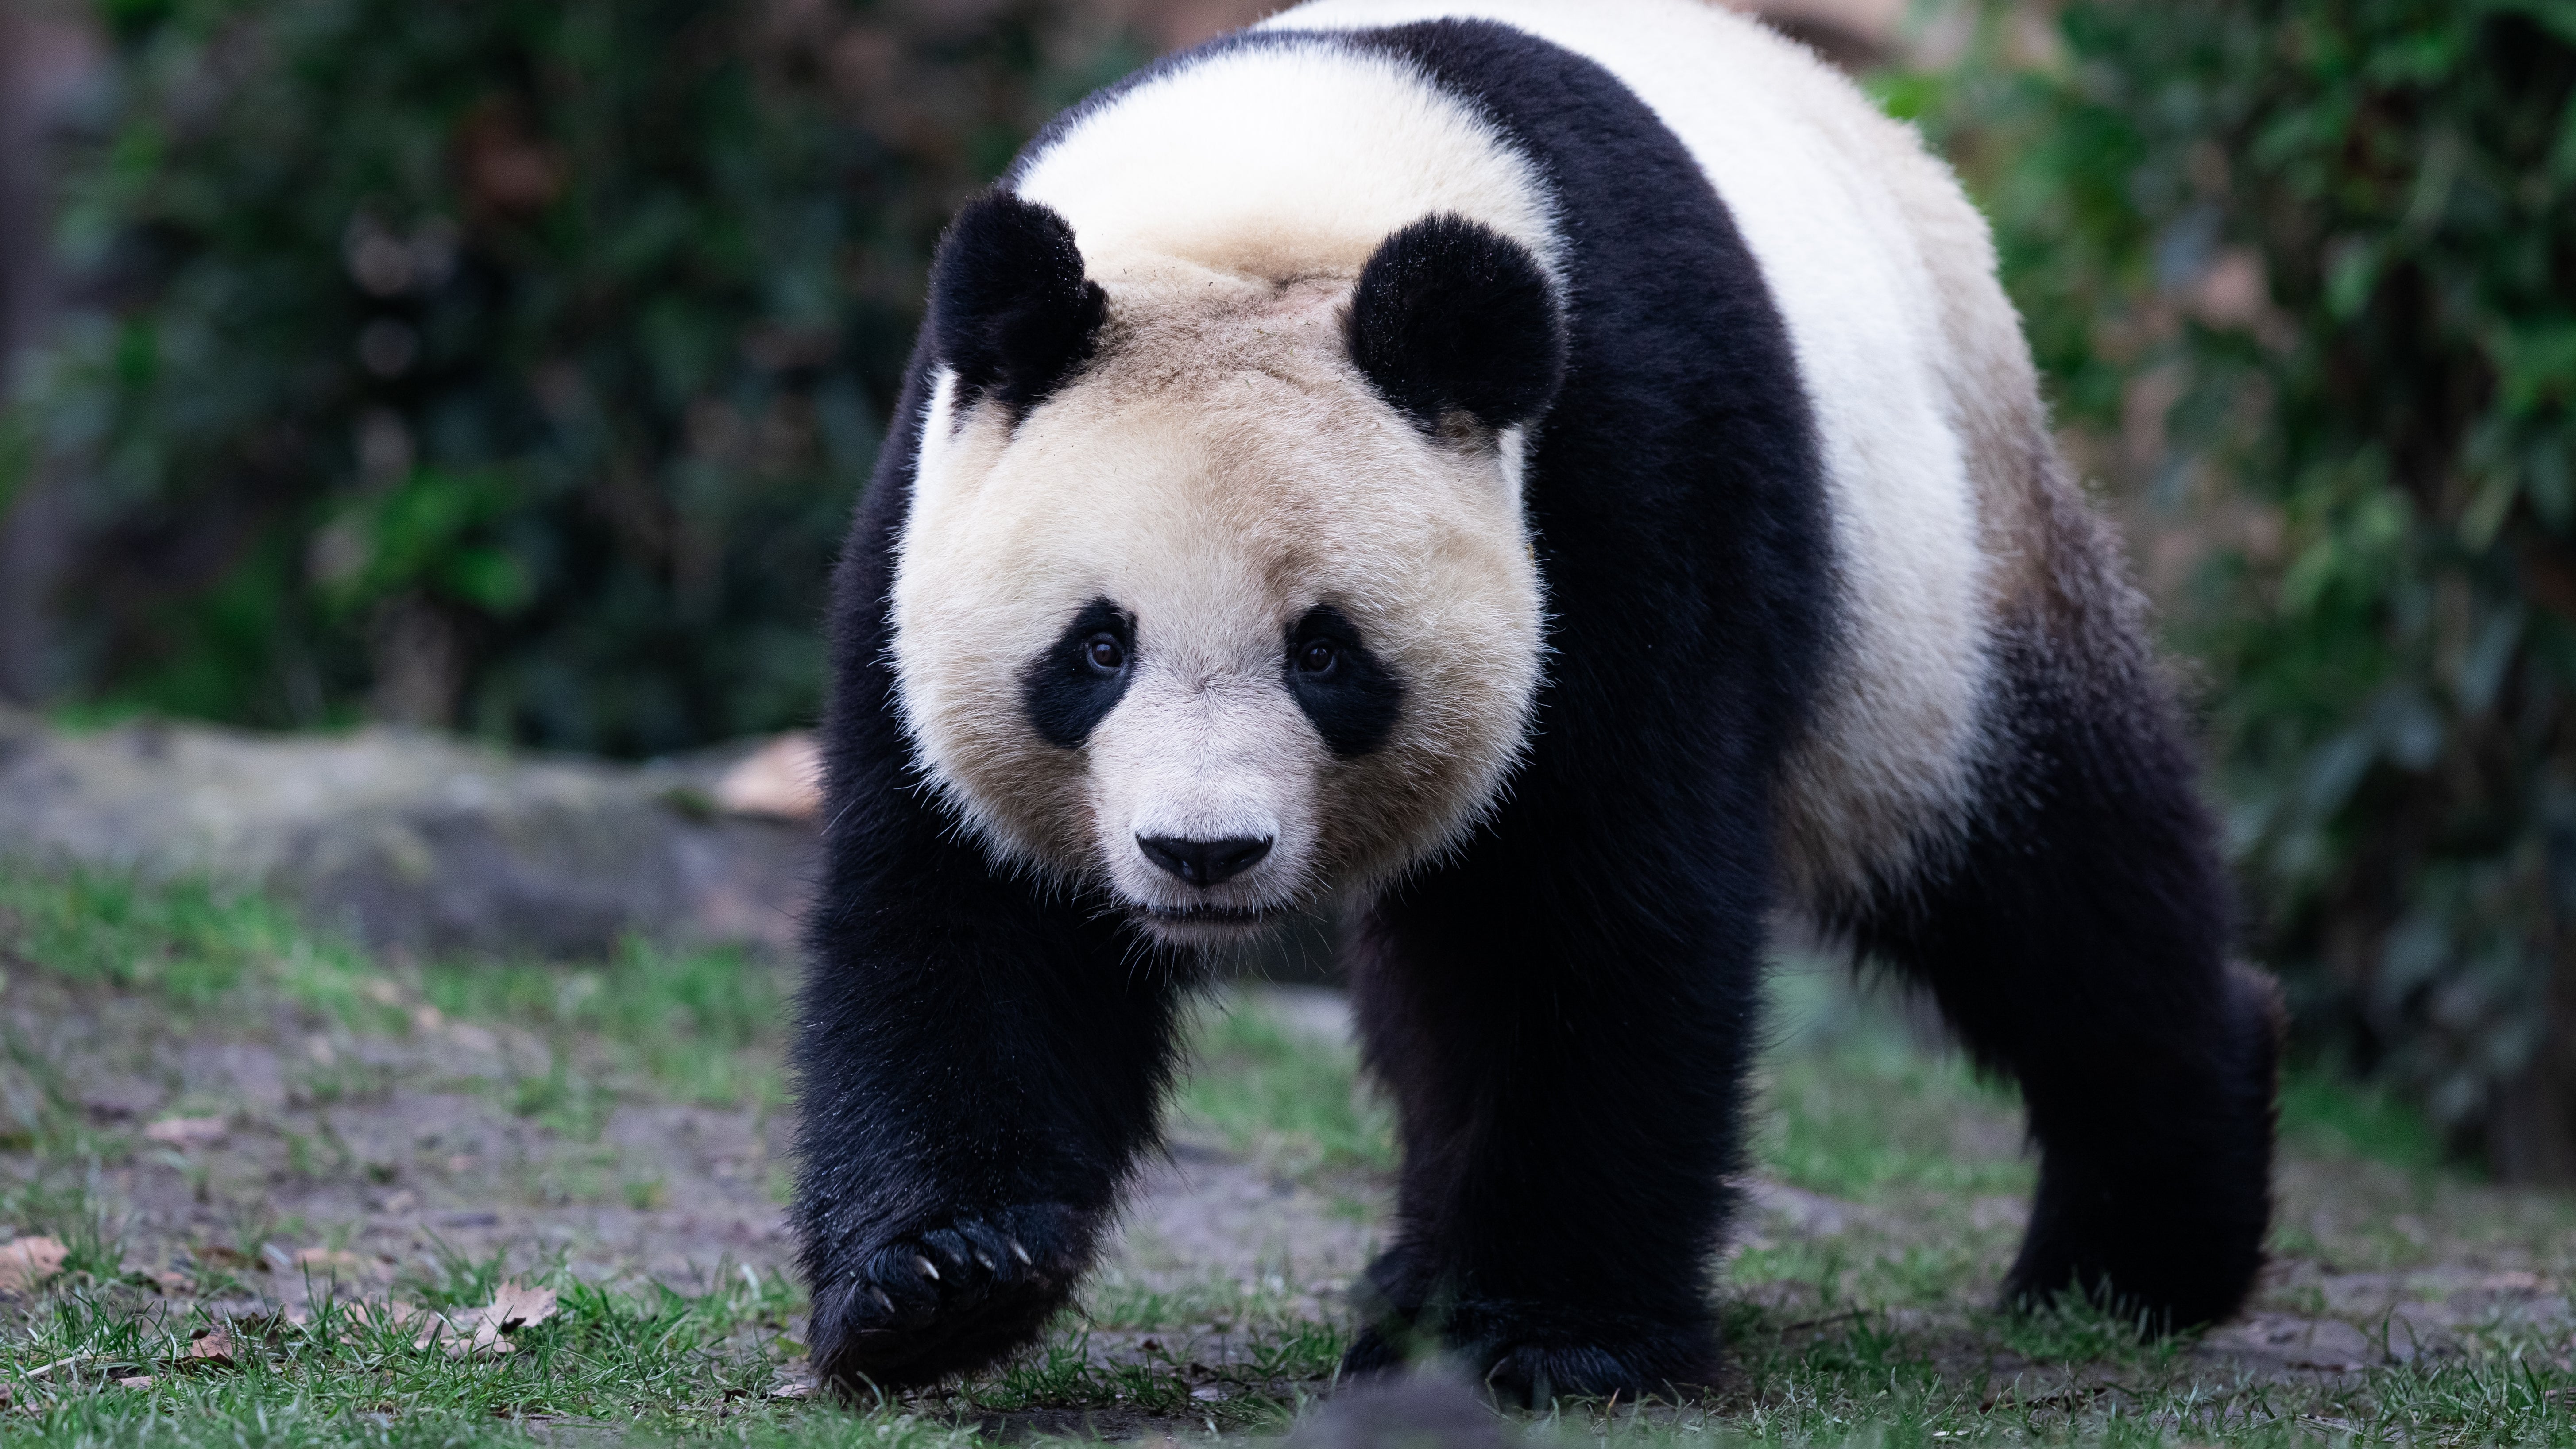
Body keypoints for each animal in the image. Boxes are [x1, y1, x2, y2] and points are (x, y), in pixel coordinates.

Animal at [795, 0, 2282, 1404]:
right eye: (1098, 647)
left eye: (1325, 653)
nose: (1202, 854)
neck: (1275, 208)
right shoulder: (928, 497)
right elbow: (963, 906)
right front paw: (941, 1277)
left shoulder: (1631, 464)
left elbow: (1601, 902)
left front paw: (1558, 1339)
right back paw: (1414, 1284)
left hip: (1941, 568)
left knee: (2041, 875)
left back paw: (2144, 1242)